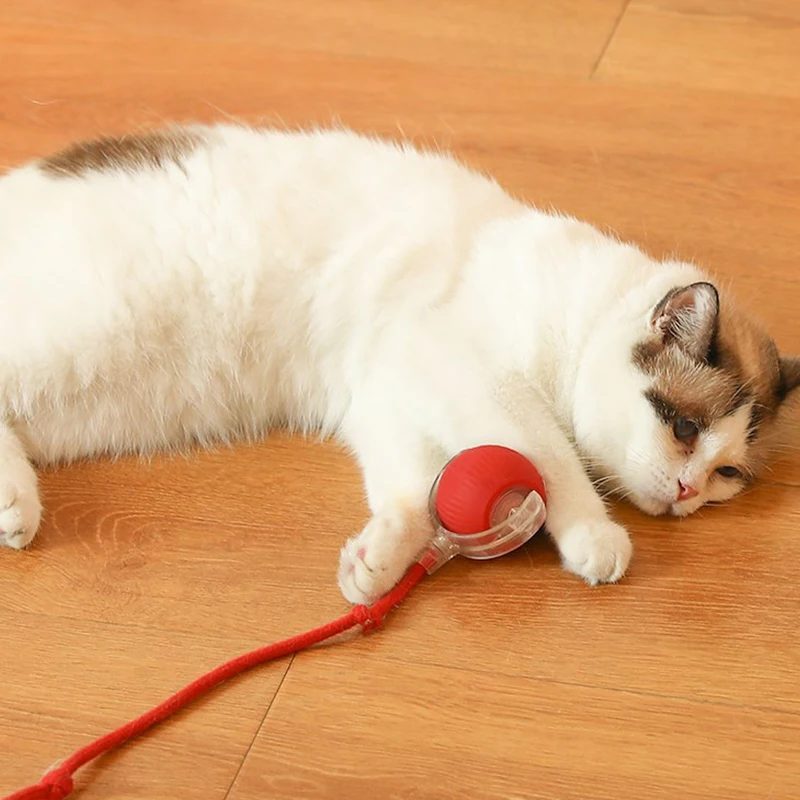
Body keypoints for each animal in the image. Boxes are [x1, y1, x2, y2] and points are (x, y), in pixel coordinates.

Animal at [0, 122, 796, 604]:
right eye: (684, 430)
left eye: (727, 475)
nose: (690, 493)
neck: (576, 304)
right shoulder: (473, 373)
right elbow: (552, 455)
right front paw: (594, 535)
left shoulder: (388, 394)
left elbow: (413, 491)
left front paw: (377, 561)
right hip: (89, 332)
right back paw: (15, 504)